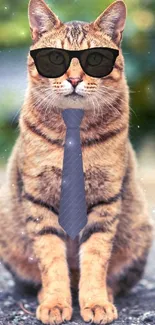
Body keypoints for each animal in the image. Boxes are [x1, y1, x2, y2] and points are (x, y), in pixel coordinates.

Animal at [0, 0, 153, 322]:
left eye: (94, 58)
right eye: (55, 57)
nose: (73, 79)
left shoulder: (105, 199)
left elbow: (95, 258)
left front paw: (95, 302)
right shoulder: (39, 199)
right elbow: (51, 259)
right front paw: (55, 303)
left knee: (106, 277)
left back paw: (104, 294)